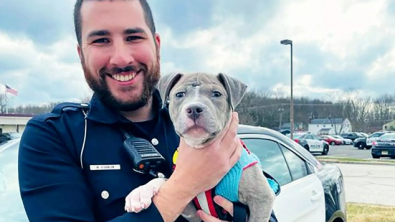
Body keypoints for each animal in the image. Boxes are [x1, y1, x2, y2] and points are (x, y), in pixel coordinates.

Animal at [125, 73, 276, 222]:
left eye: (216, 94)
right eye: (179, 94)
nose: (194, 109)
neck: (199, 145)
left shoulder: (261, 198)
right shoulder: (191, 211)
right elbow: (165, 180)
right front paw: (139, 193)